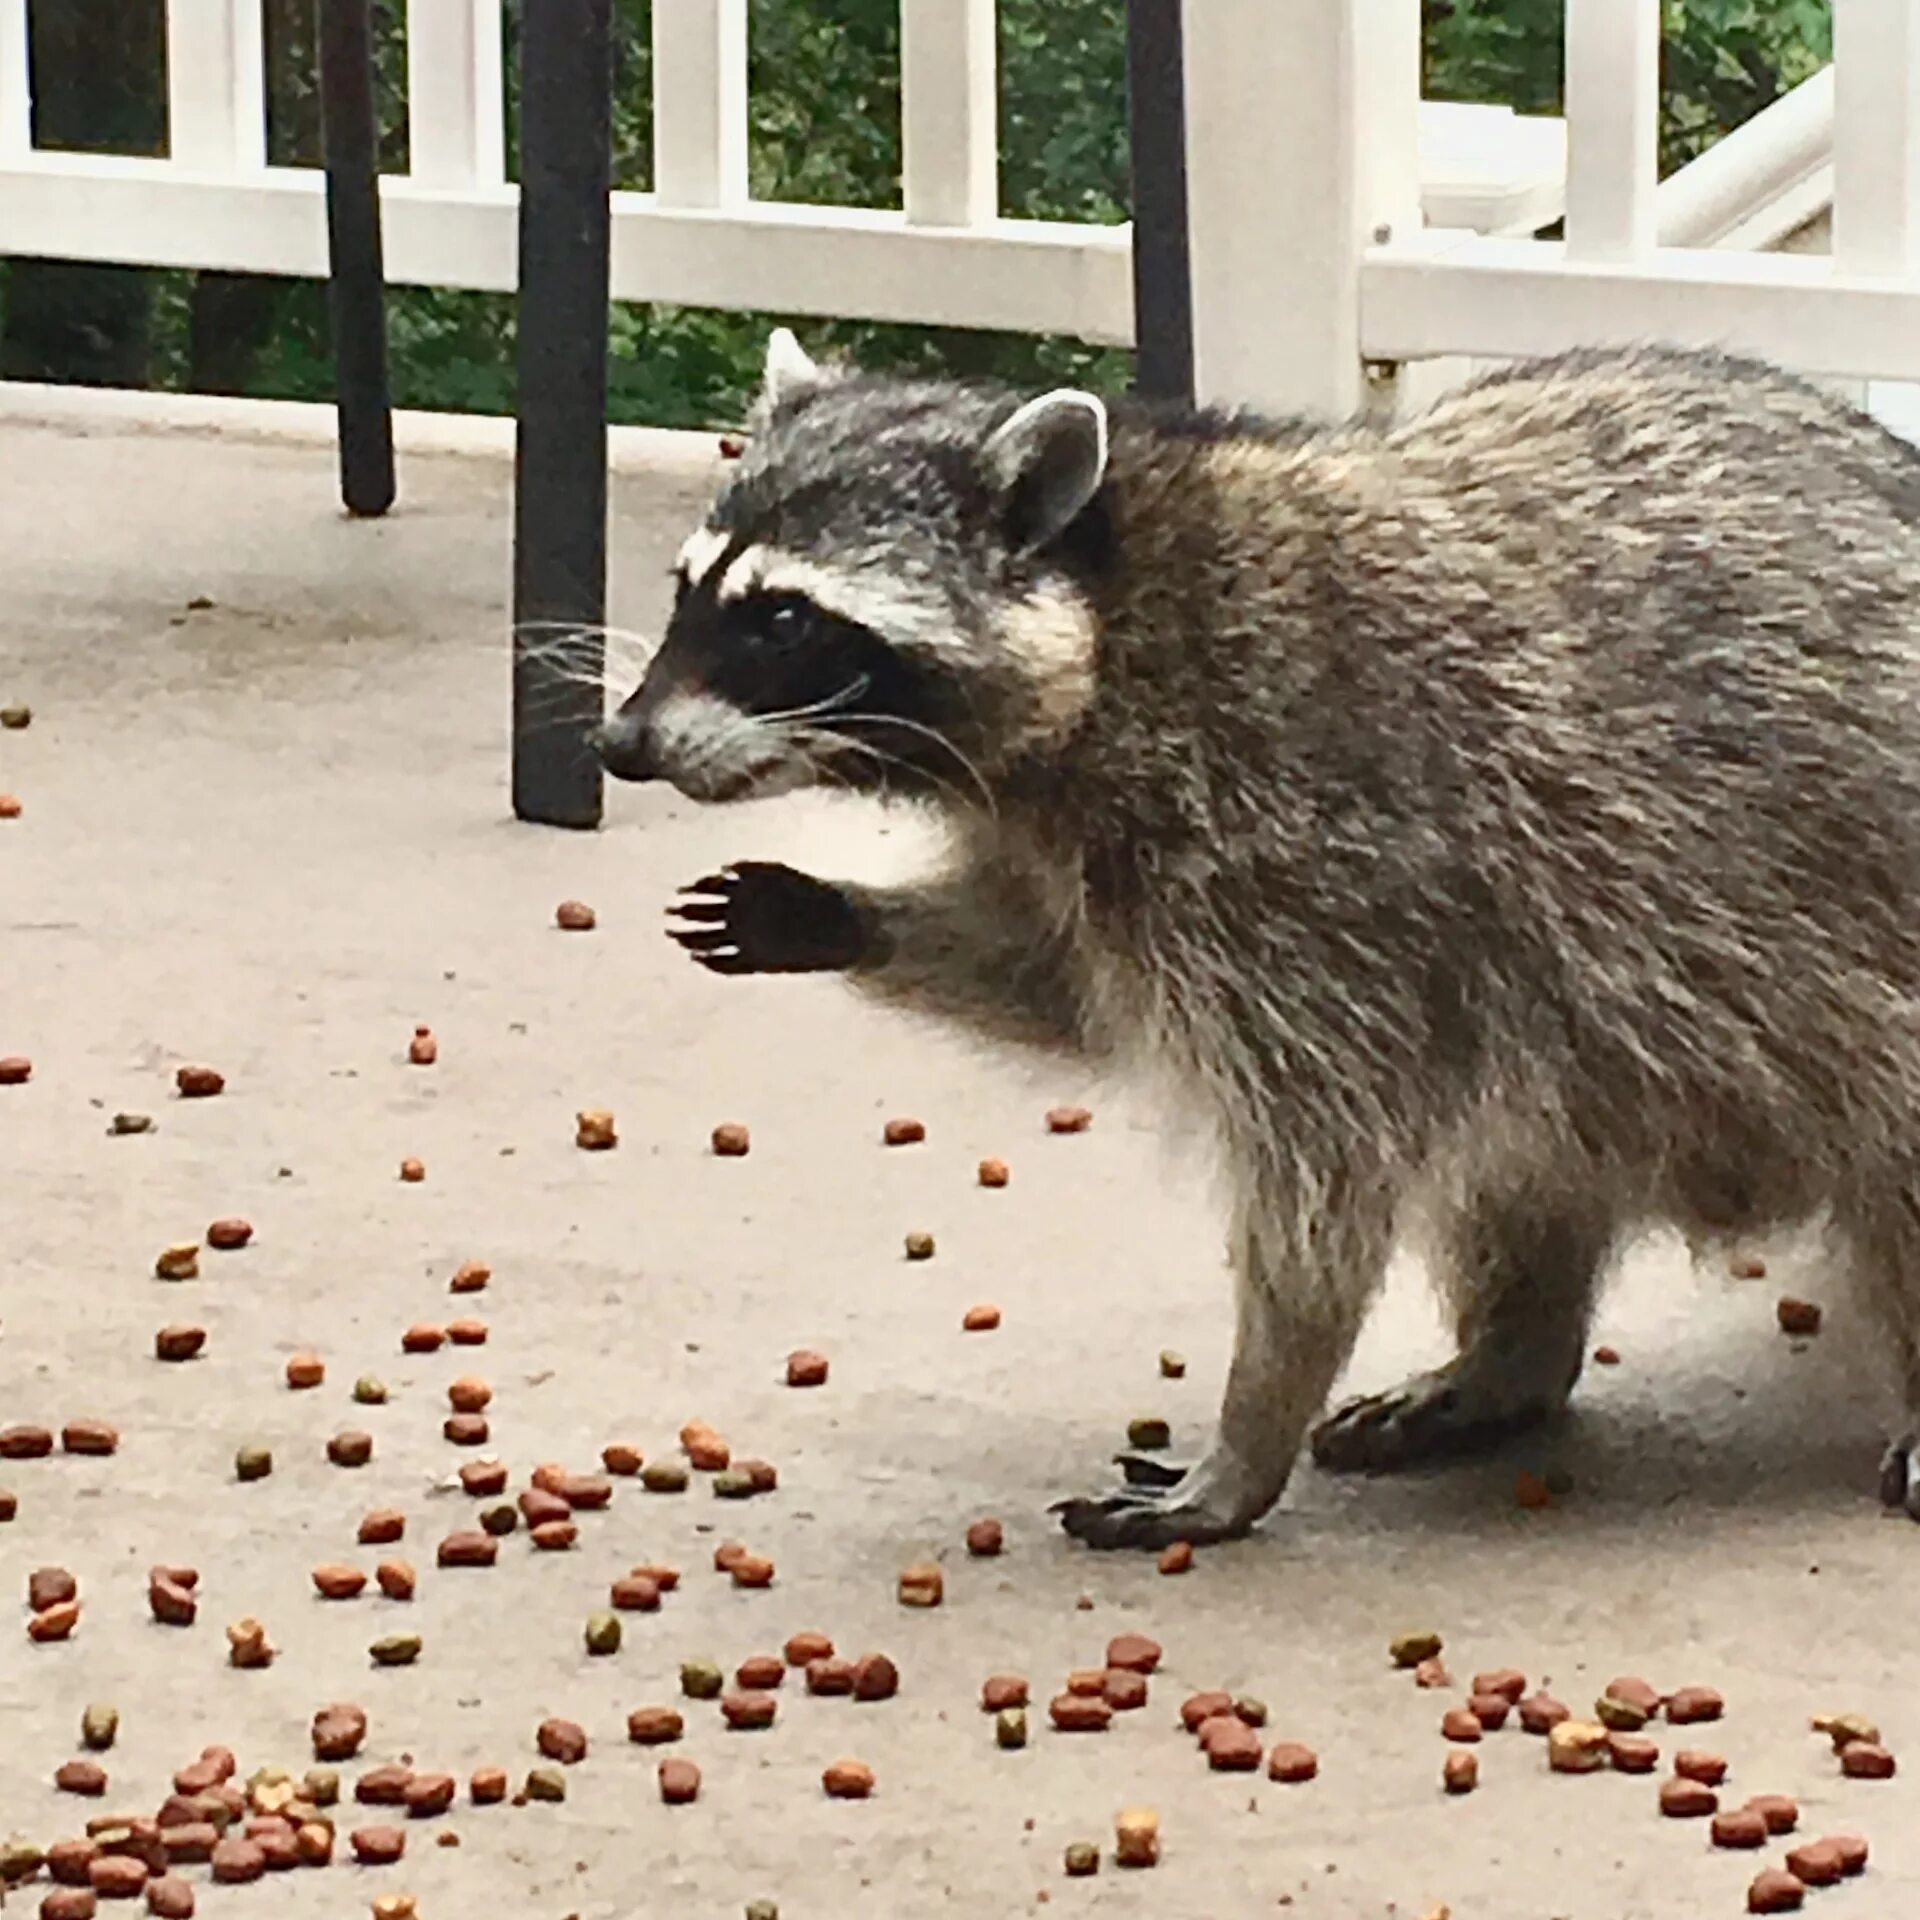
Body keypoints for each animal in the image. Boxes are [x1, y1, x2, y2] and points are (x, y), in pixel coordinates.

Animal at [587, 330, 1920, 1551]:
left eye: (785, 621)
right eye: (688, 589)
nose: (620, 744)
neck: (1120, 630)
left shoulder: (1323, 869)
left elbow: (1320, 1195)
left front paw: (1246, 1437)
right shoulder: (1100, 861)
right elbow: (1050, 977)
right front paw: (837, 912)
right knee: (1524, 1161)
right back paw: (1511, 1356)